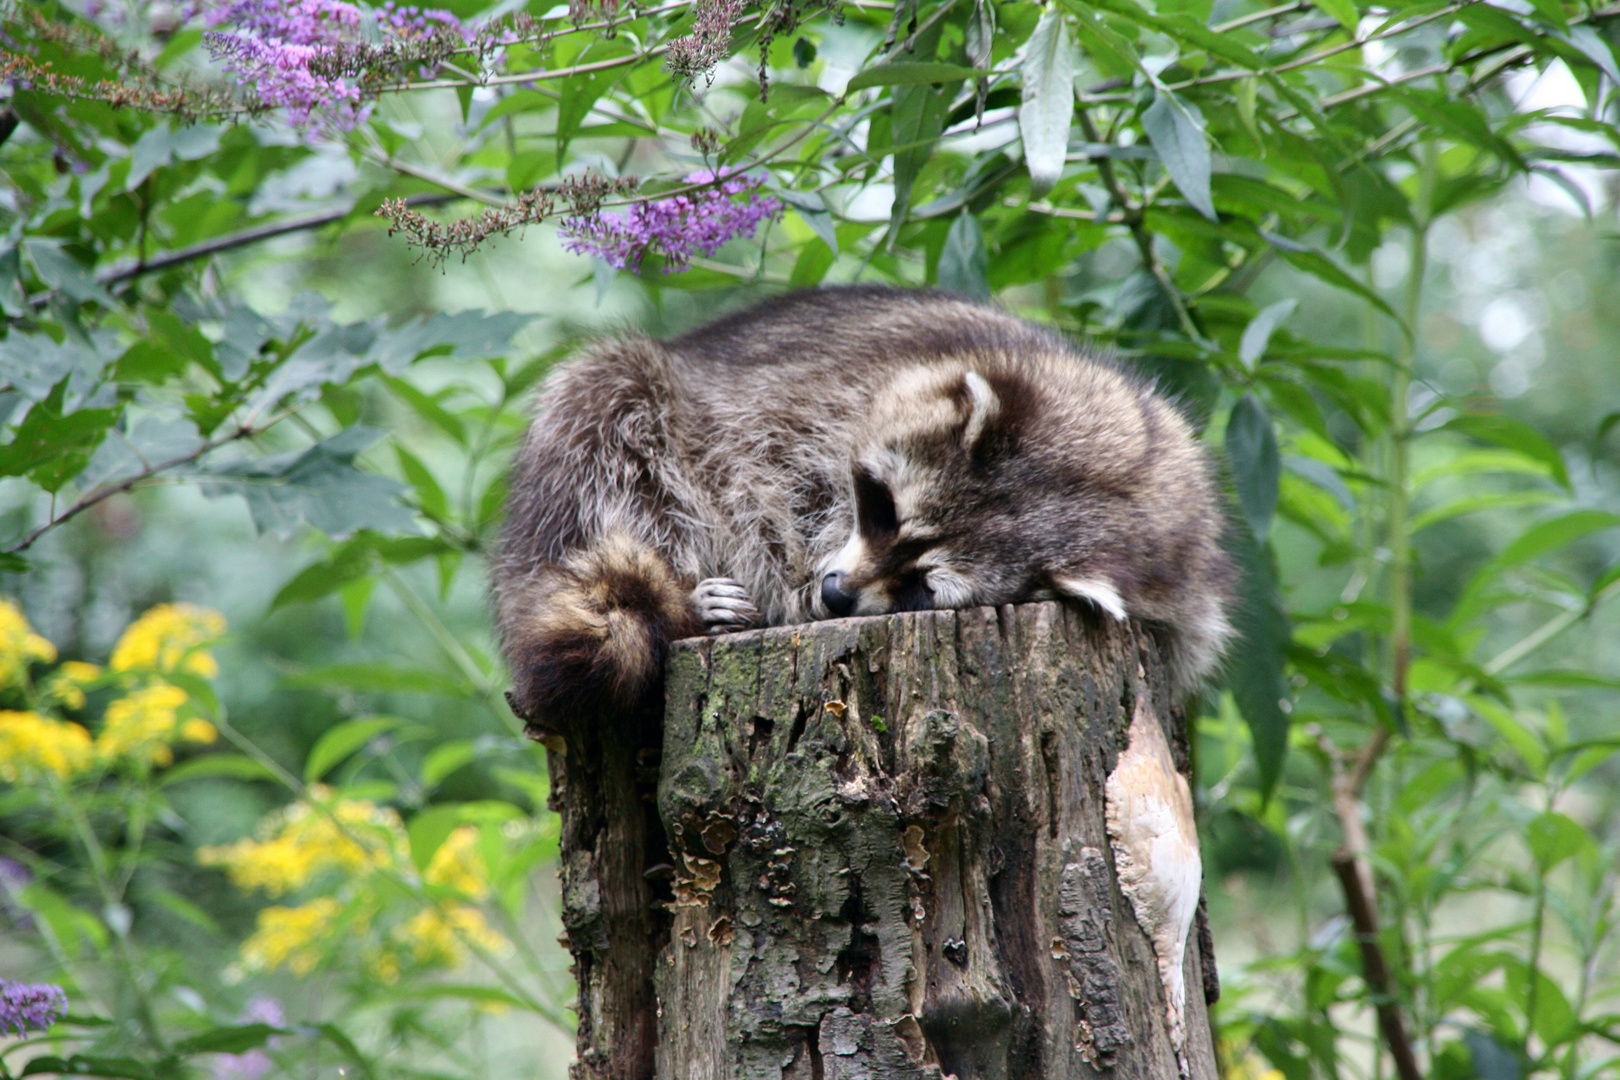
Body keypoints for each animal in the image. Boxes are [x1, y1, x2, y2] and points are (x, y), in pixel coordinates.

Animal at [486, 284, 1231, 735]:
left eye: (923, 588)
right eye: (882, 510)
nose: (837, 594)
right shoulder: (813, 403)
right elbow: (761, 490)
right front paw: (792, 587)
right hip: (608, 424)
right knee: (603, 424)